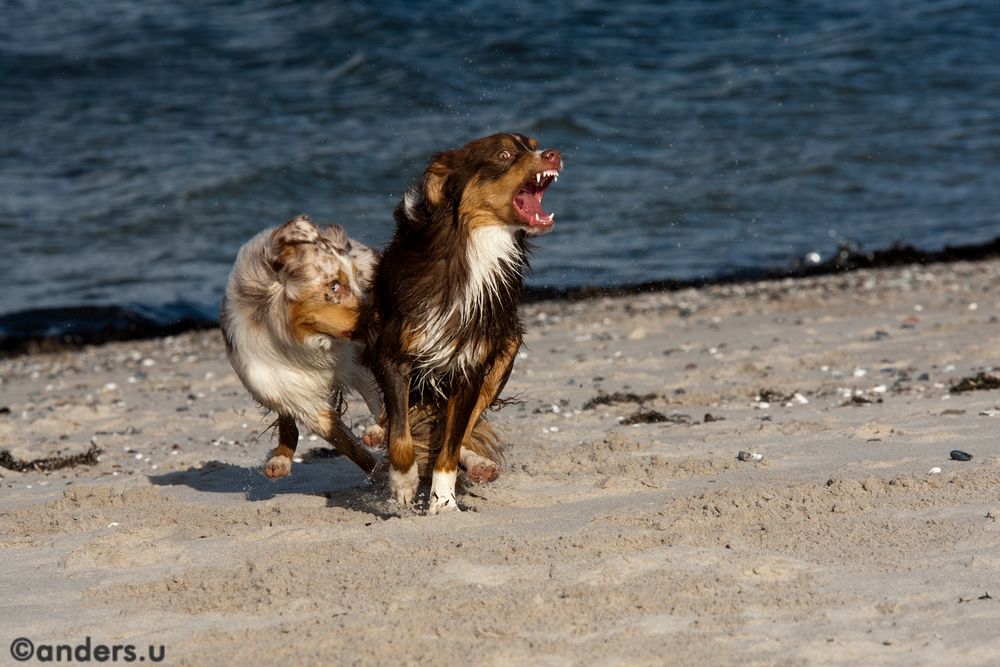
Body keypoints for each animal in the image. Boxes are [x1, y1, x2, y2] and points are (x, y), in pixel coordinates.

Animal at [364, 133, 564, 516]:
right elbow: (401, 436)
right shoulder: (392, 353)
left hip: (506, 349)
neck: (475, 244)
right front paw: (403, 484)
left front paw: (443, 502)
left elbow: (450, 444)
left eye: (533, 144)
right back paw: (376, 431)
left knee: (465, 429)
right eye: (504, 154)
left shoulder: (470, 366)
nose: (554, 153)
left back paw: (479, 465)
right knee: (390, 417)